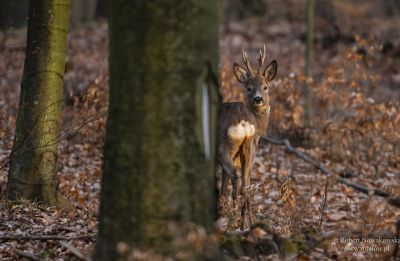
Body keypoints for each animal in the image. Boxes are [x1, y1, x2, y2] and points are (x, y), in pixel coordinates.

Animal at [217, 45, 276, 203]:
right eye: (248, 88)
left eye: (266, 86)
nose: (258, 98)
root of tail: (243, 121)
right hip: (245, 149)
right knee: (244, 185)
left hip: (226, 148)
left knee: (235, 178)